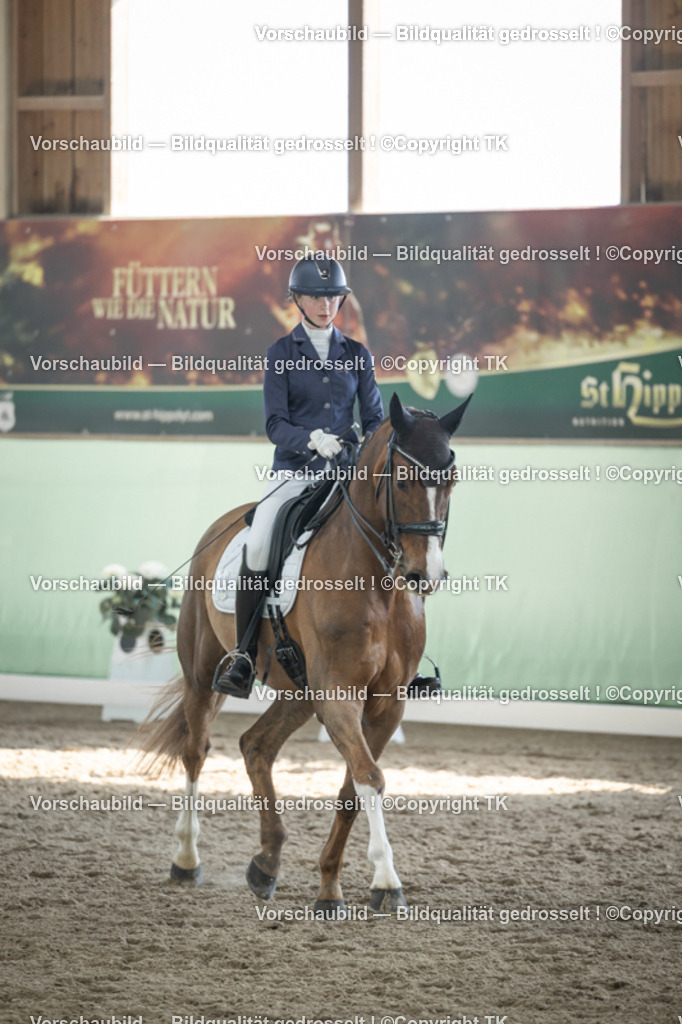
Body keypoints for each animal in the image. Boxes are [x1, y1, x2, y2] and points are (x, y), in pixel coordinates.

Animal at [138, 391, 472, 917]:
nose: (426, 576)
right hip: (202, 672)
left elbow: (354, 786)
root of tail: (224, 523)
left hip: (298, 690)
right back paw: (187, 860)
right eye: (402, 480)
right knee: (195, 751)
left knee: (255, 746)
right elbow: (370, 777)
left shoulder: (386, 704)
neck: (377, 582)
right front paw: (385, 881)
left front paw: (330, 888)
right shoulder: (338, 693)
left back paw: (266, 863)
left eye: (452, 482)